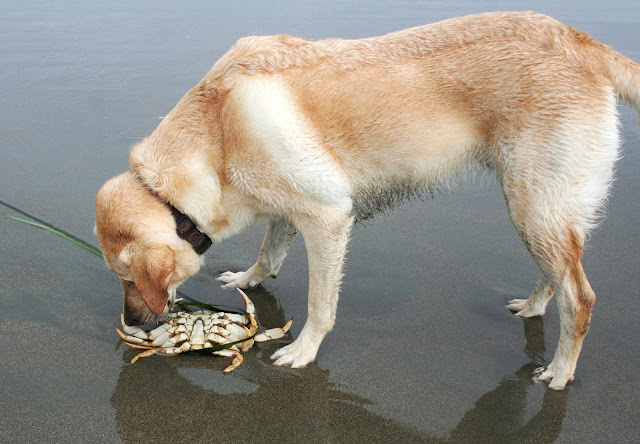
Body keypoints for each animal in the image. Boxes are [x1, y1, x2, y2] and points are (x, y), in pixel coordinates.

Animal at [96, 11, 640, 388]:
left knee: (580, 297)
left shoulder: (328, 215)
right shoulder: (290, 207)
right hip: (538, 209)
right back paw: (532, 308)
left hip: (533, 204)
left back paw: (561, 371)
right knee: (556, 276)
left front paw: (304, 351)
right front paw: (246, 279)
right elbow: (268, 254)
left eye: (129, 278)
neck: (217, 133)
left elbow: (320, 304)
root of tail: (581, 41)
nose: (132, 323)